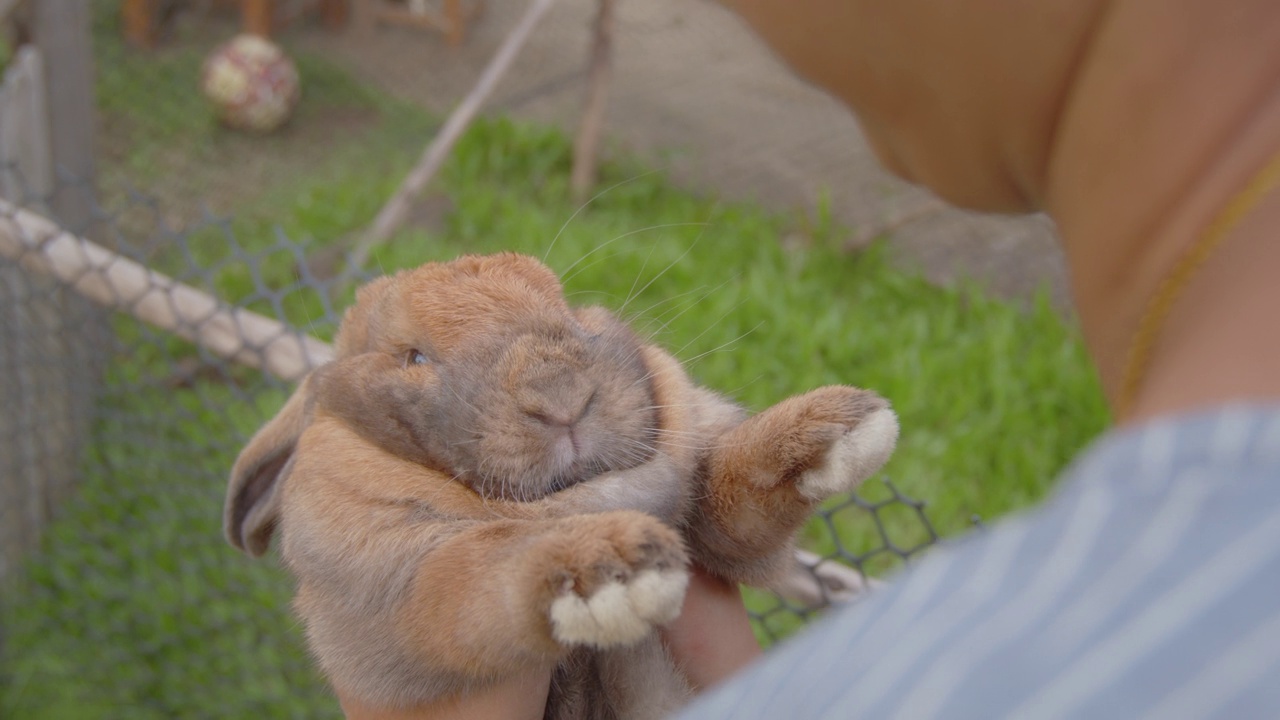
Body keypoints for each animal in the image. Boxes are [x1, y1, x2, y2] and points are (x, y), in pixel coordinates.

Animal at [222, 251, 901, 712]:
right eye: (412, 357)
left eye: (565, 304)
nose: (560, 396)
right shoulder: (388, 585)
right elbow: (473, 575)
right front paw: (611, 571)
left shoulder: (718, 526)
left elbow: (736, 494)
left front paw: (843, 428)